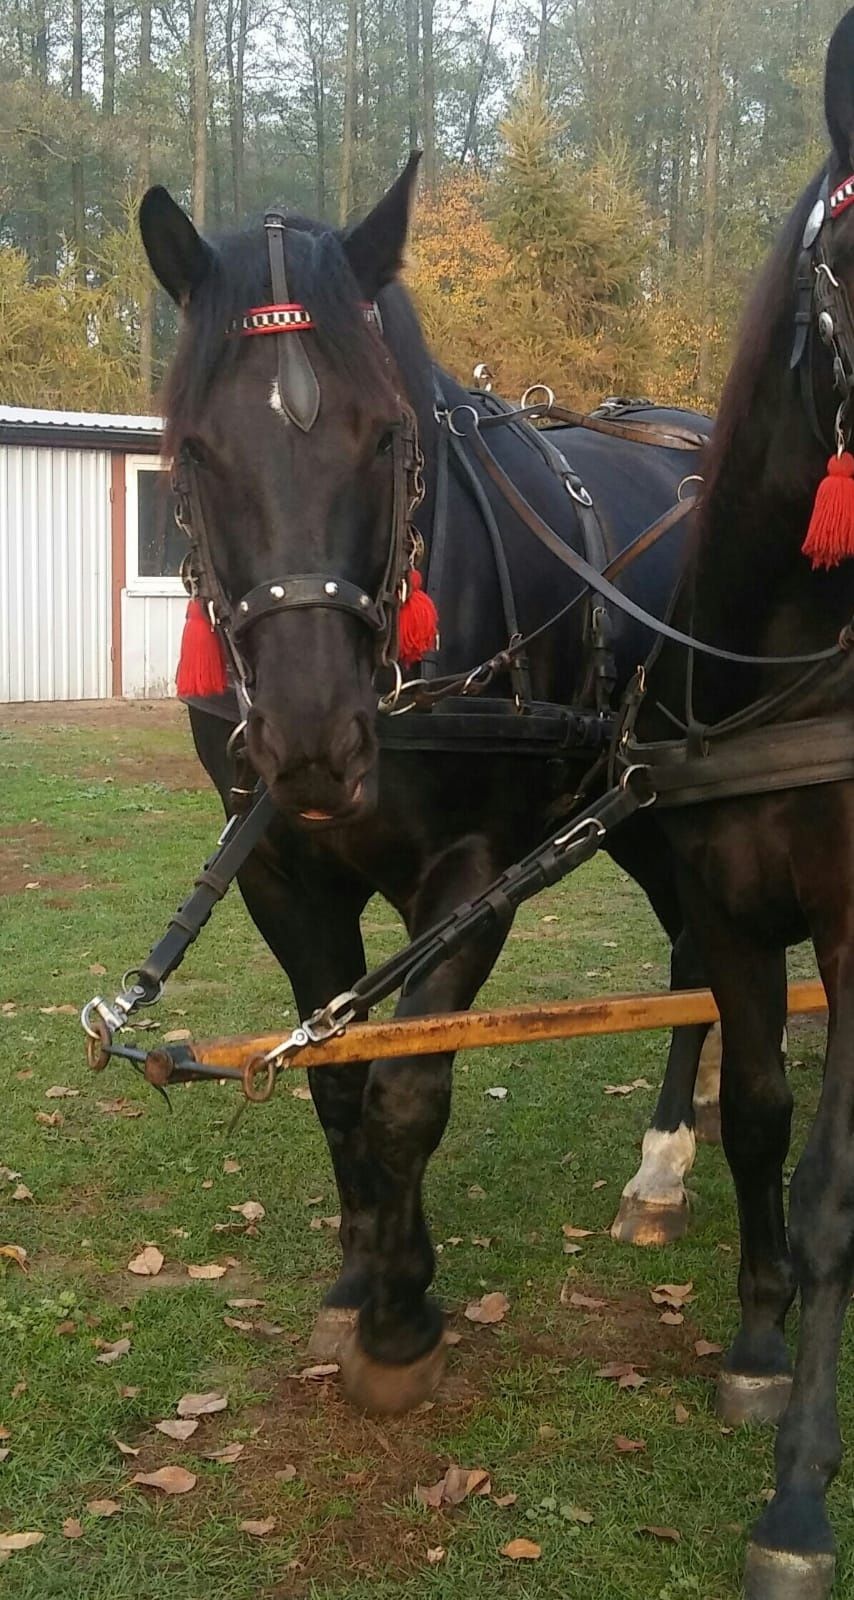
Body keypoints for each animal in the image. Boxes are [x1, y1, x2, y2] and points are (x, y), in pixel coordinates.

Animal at [142, 162, 716, 1414]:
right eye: (194, 450)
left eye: (382, 435)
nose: (311, 735)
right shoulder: (279, 872)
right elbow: (336, 1082)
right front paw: (361, 1273)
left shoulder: (470, 872)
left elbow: (408, 1090)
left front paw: (402, 1320)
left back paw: (662, 1166)